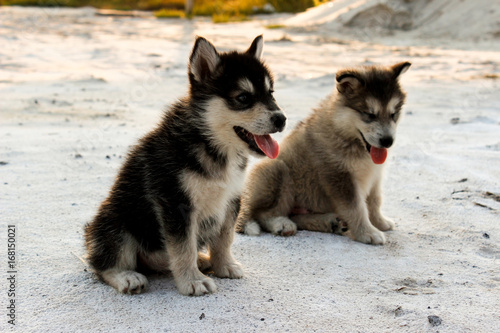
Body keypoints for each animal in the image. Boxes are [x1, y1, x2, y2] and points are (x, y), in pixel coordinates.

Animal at [85, 35, 286, 296]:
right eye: (243, 98)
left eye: (271, 93)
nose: (281, 119)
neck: (212, 144)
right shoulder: (175, 202)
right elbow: (183, 247)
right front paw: (193, 281)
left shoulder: (230, 198)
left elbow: (224, 238)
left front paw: (224, 265)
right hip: (116, 222)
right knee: (103, 263)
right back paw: (126, 276)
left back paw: (202, 260)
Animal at [236, 61, 412, 244]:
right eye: (370, 114)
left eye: (393, 114)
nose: (388, 141)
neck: (346, 135)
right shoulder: (339, 176)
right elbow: (356, 207)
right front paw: (368, 232)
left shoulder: (375, 174)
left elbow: (374, 200)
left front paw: (380, 222)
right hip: (277, 169)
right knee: (263, 214)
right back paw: (281, 224)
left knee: (295, 216)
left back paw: (330, 223)